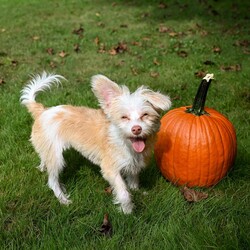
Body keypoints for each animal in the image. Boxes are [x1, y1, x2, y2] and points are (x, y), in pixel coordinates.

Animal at [20, 72, 172, 213]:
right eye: (124, 117)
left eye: (145, 115)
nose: (136, 129)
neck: (125, 142)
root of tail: (43, 111)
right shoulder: (110, 169)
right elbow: (123, 192)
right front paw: (127, 210)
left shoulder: (133, 164)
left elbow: (133, 181)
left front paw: (137, 191)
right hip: (56, 158)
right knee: (52, 181)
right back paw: (62, 199)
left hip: (47, 149)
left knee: (43, 158)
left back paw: (42, 167)